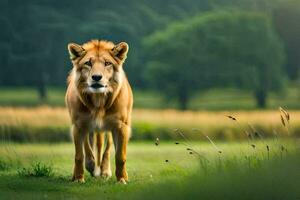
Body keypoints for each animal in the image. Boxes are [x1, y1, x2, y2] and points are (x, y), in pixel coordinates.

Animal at [65, 39, 132, 184]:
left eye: (107, 63)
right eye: (88, 63)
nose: (96, 77)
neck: (98, 101)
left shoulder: (120, 126)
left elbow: (120, 156)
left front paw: (122, 179)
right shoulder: (79, 125)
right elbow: (80, 155)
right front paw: (79, 178)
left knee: (106, 148)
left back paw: (105, 171)